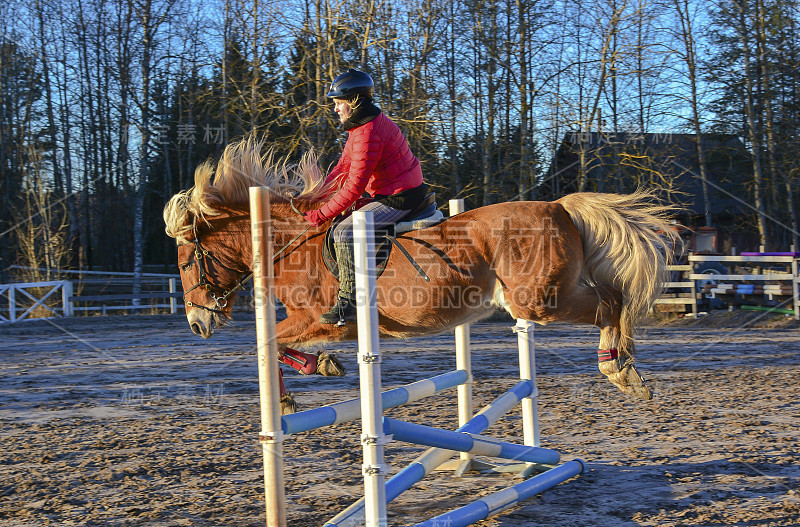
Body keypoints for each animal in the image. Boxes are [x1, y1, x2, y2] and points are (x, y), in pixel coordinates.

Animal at [166, 138, 680, 410]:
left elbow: (266, 342)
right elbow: (276, 343)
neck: (291, 243)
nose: (197, 323)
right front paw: (324, 365)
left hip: (540, 300)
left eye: (187, 260)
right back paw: (623, 365)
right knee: (612, 299)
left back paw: (619, 370)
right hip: (543, 297)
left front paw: (288, 400)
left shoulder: (322, 320)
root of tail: (558, 205)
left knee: (612, 302)